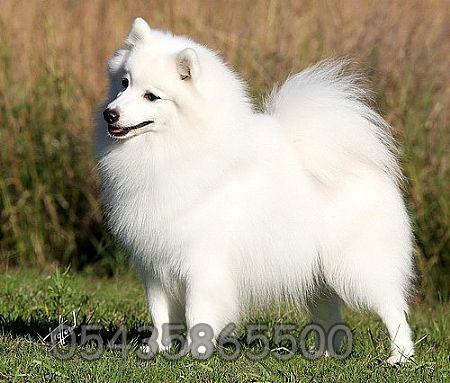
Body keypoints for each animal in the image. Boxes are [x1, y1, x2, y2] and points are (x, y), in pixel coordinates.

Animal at [96, 18, 414, 366]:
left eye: (152, 96)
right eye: (124, 84)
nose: (110, 113)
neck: (175, 148)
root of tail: (363, 160)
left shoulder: (202, 263)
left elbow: (197, 312)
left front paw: (195, 354)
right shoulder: (154, 264)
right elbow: (159, 315)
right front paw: (156, 350)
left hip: (358, 268)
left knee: (394, 310)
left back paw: (400, 357)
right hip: (318, 278)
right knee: (331, 316)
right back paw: (327, 354)